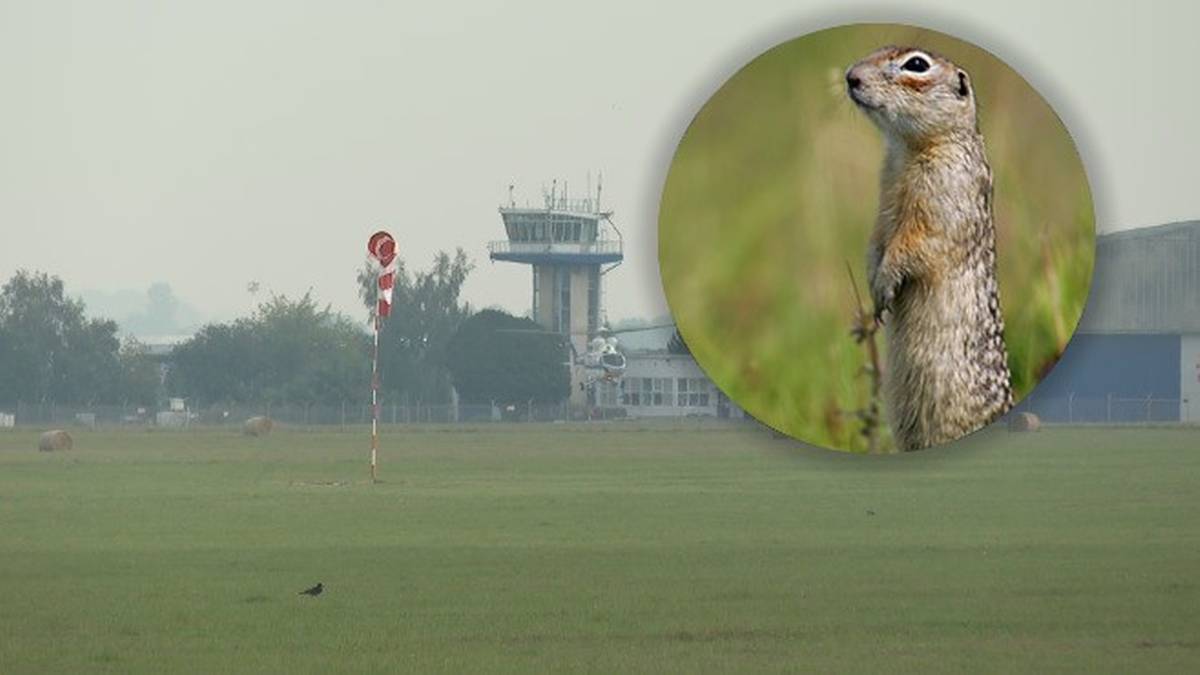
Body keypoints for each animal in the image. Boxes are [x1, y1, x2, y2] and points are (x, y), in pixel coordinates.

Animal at [844, 45, 1012, 446]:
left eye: (917, 65)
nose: (850, 77)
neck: (907, 149)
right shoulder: (885, 199)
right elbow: (876, 240)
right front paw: (874, 286)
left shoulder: (943, 193)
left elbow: (917, 244)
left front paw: (885, 283)